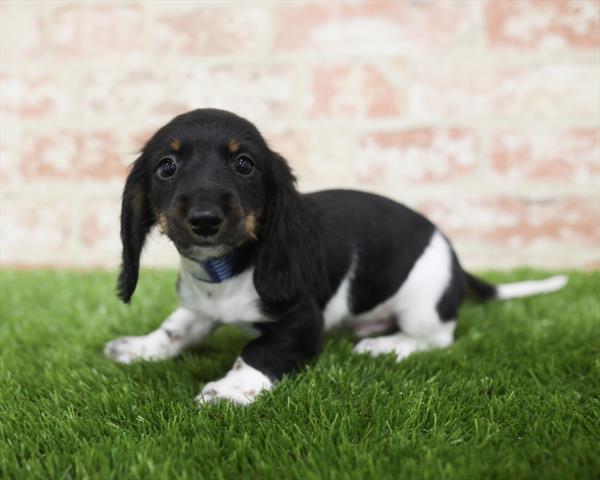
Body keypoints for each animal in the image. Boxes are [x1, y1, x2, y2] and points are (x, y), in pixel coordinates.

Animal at [105, 109, 568, 404]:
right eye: (166, 166)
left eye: (244, 164)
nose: (205, 219)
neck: (228, 270)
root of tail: (456, 262)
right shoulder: (199, 306)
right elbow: (175, 328)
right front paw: (141, 347)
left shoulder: (302, 322)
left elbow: (257, 352)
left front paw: (230, 390)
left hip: (423, 302)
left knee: (437, 338)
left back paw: (386, 346)